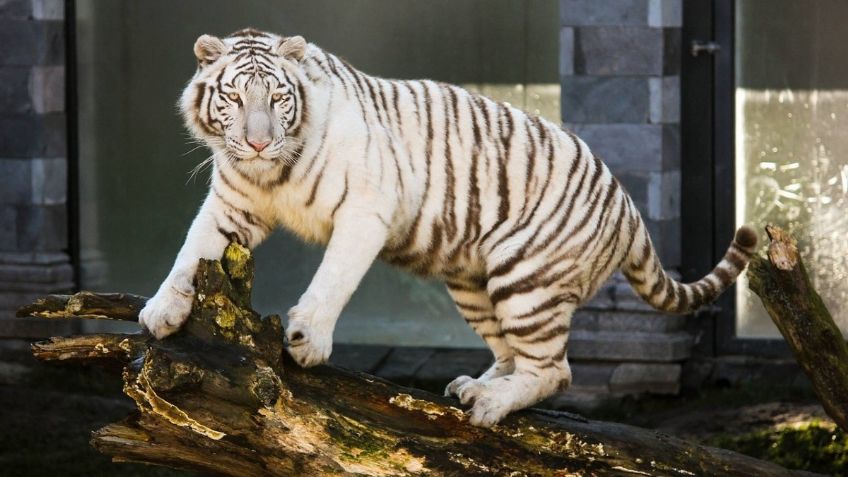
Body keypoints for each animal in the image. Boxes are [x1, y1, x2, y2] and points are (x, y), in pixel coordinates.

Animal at [136, 27, 760, 426]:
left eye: (278, 98)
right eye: (234, 97)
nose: (260, 142)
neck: (270, 174)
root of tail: (630, 208)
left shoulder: (365, 210)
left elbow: (332, 279)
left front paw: (307, 339)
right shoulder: (230, 205)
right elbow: (190, 254)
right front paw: (161, 311)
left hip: (526, 278)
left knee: (554, 370)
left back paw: (490, 406)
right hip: (473, 284)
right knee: (514, 355)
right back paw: (477, 386)